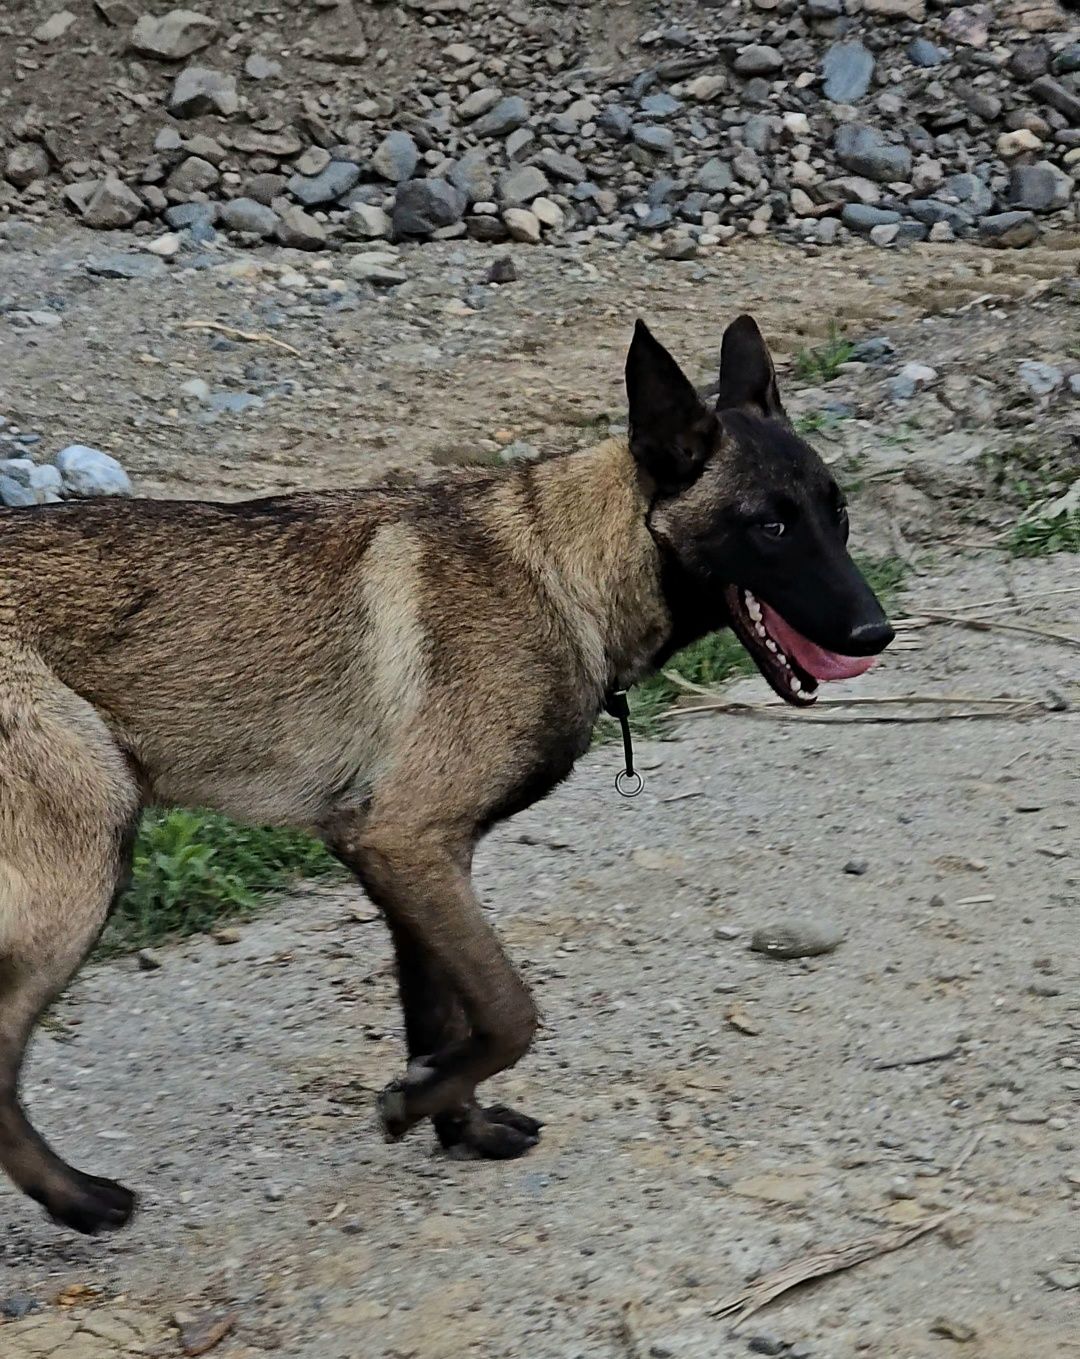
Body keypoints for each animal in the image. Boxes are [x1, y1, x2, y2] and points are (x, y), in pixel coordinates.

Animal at [0, 315, 896, 1233]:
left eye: (836, 512)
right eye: (770, 528)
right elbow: (510, 1012)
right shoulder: (408, 845)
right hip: (81, 875)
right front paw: (416, 1103)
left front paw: (455, 1118)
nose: (876, 633)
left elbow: (443, 1014)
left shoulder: (413, 859)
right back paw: (75, 1197)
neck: (560, 568)